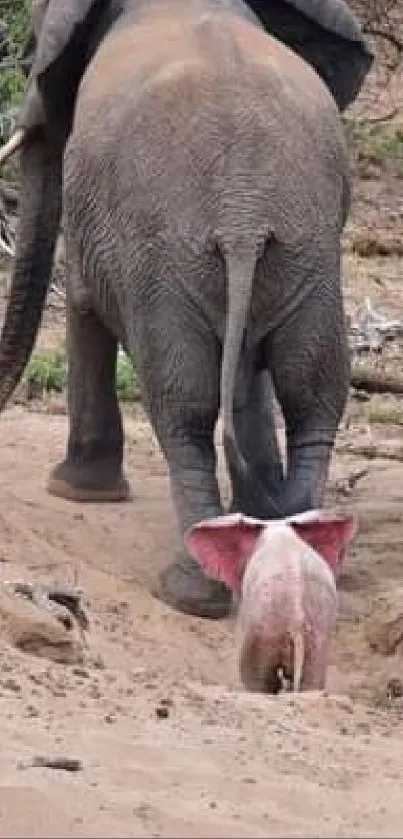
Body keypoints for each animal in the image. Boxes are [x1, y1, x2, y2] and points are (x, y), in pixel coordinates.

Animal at [0, 0, 364, 616]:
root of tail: (243, 214)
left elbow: (84, 302)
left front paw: (73, 489)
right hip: (305, 254)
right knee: (311, 392)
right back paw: (300, 546)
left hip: (166, 259)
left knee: (184, 404)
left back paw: (192, 591)